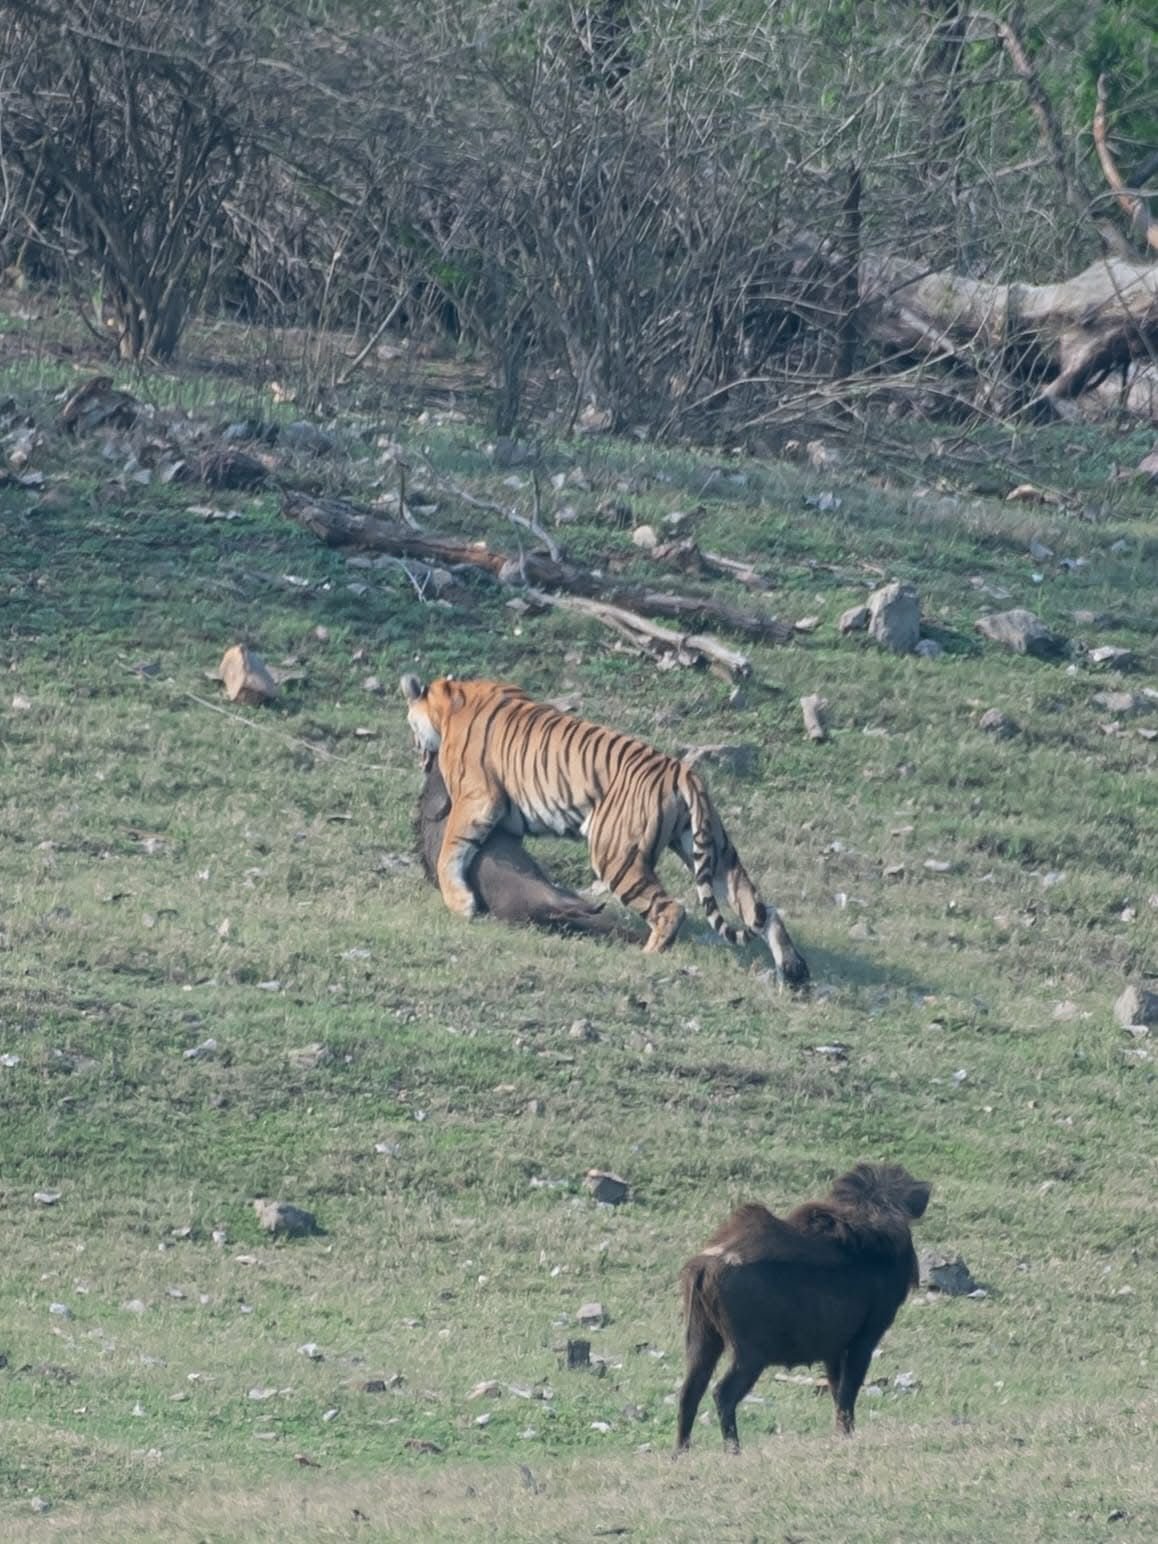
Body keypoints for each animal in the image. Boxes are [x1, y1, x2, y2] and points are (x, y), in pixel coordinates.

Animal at [400, 674, 808, 983]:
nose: (417, 752)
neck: (452, 698)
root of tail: (684, 772)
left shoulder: (477, 798)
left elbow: (451, 850)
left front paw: (461, 904)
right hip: (715, 851)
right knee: (760, 908)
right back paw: (792, 967)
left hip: (616, 856)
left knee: (671, 909)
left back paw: (648, 954)